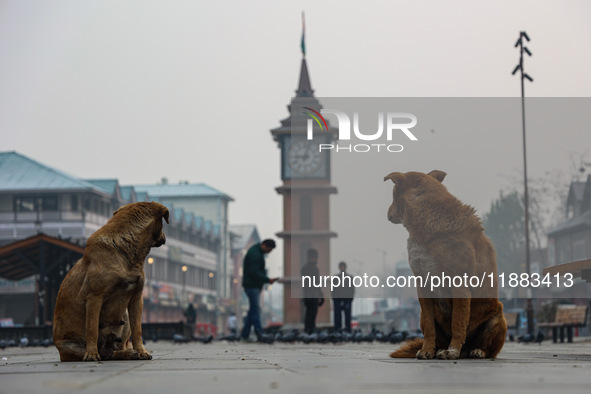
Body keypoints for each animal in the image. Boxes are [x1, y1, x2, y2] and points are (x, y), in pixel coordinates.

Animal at [53, 202, 169, 362]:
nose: (164, 237)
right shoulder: (95, 297)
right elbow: (92, 329)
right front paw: (91, 353)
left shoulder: (136, 299)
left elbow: (137, 330)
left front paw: (141, 351)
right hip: (70, 346)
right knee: (102, 352)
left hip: (125, 316)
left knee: (113, 351)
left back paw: (128, 353)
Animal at [386, 170, 506, 360]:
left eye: (393, 195)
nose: (388, 213)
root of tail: (467, 349)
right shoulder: (423, 285)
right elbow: (429, 327)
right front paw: (427, 350)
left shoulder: (459, 283)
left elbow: (458, 322)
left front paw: (452, 350)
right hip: (420, 314)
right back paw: (438, 350)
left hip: (497, 317)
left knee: (489, 349)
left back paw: (476, 351)